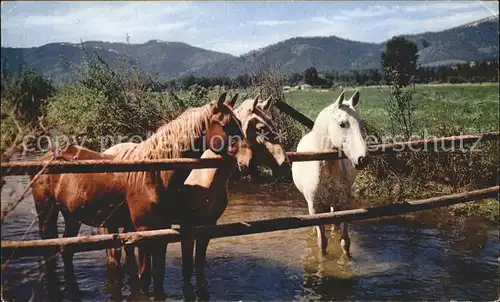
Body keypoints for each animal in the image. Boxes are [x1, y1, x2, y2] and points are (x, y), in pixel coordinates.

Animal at [29, 93, 252, 296]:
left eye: (240, 123)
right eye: (226, 125)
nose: (248, 161)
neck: (154, 173)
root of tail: (46, 157)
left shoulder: (163, 231)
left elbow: (159, 274)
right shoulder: (144, 232)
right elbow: (144, 277)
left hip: (71, 216)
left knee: (67, 251)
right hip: (47, 214)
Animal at [179, 95, 290, 300]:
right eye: (261, 128)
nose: (285, 164)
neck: (203, 175)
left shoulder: (208, 226)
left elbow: (199, 265)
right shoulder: (187, 227)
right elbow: (187, 267)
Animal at [292, 89, 370, 258]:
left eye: (360, 124)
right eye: (342, 124)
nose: (363, 159)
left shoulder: (345, 206)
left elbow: (345, 242)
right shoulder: (315, 208)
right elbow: (322, 242)